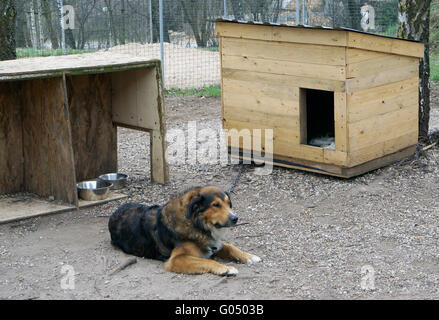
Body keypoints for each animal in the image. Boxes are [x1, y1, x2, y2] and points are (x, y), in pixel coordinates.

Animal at [108, 185, 262, 276]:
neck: (196, 224)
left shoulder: (212, 244)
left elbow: (230, 247)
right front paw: (225, 268)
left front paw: (249, 256)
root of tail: (114, 212)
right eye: (216, 205)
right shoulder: (176, 259)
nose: (235, 218)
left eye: (228, 203)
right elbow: (207, 261)